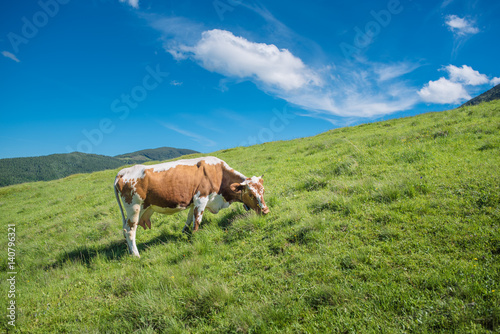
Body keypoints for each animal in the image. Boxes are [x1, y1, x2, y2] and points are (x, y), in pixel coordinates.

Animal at [113, 156, 270, 256]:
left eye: (263, 191)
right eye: (251, 194)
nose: (266, 211)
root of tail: (123, 171)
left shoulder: (194, 202)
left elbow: (189, 218)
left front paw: (184, 232)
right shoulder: (201, 199)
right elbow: (197, 221)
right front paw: (194, 238)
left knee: (125, 229)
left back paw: (130, 251)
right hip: (134, 208)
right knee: (129, 231)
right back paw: (136, 254)